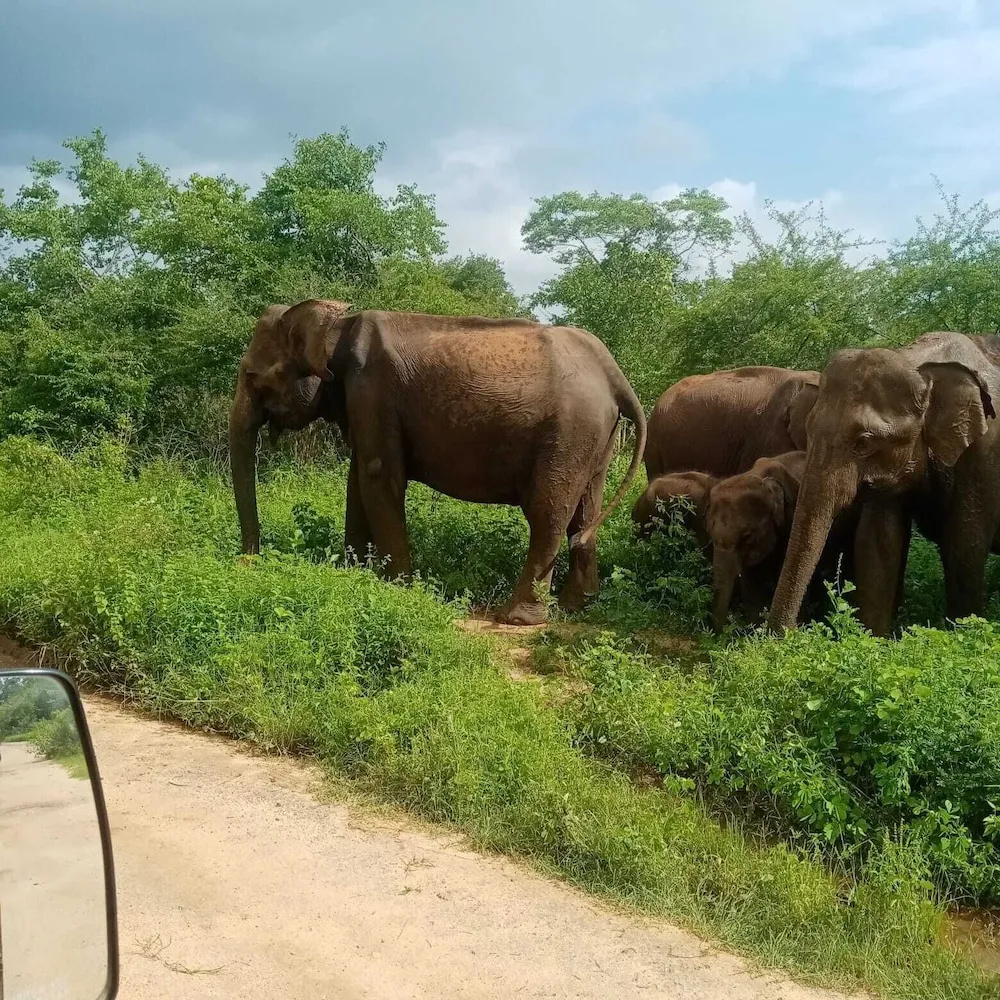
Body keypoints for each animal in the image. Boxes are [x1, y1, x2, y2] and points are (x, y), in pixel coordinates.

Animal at [265, 301, 648, 625]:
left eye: (261, 378)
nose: (252, 556)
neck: (339, 324)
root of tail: (615, 376)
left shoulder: (371, 391)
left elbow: (378, 476)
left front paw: (398, 589)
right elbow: (359, 480)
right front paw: (355, 574)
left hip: (571, 431)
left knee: (547, 512)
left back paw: (516, 618)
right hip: (595, 435)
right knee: (584, 511)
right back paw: (575, 607)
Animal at [768, 331, 1000, 637]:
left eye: (864, 442)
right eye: (807, 431)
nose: (786, 634)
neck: (917, 361)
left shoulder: (984, 454)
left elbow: (966, 542)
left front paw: (964, 631)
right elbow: (878, 544)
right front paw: (874, 638)